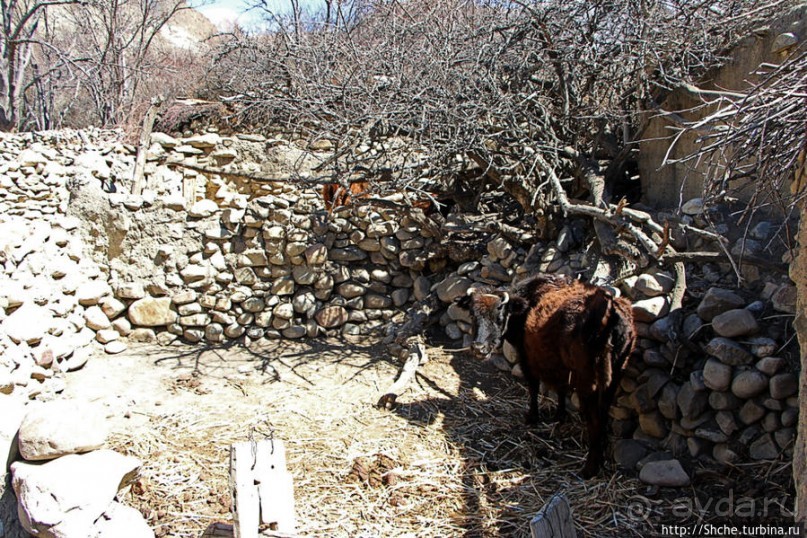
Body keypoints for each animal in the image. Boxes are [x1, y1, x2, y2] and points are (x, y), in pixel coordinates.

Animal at [454, 274, 636, 476]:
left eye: (499, 317)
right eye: (472, 315)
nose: (478, 349)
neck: (526, 303)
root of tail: (611, 313)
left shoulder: (527, 358)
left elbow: (534, 387)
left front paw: (532, 417)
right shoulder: (560, 366)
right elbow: (561, 389)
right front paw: (559, 415)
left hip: (588, 382)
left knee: (595, 421)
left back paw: (589, 468)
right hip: (615, 376)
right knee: (603, 417)